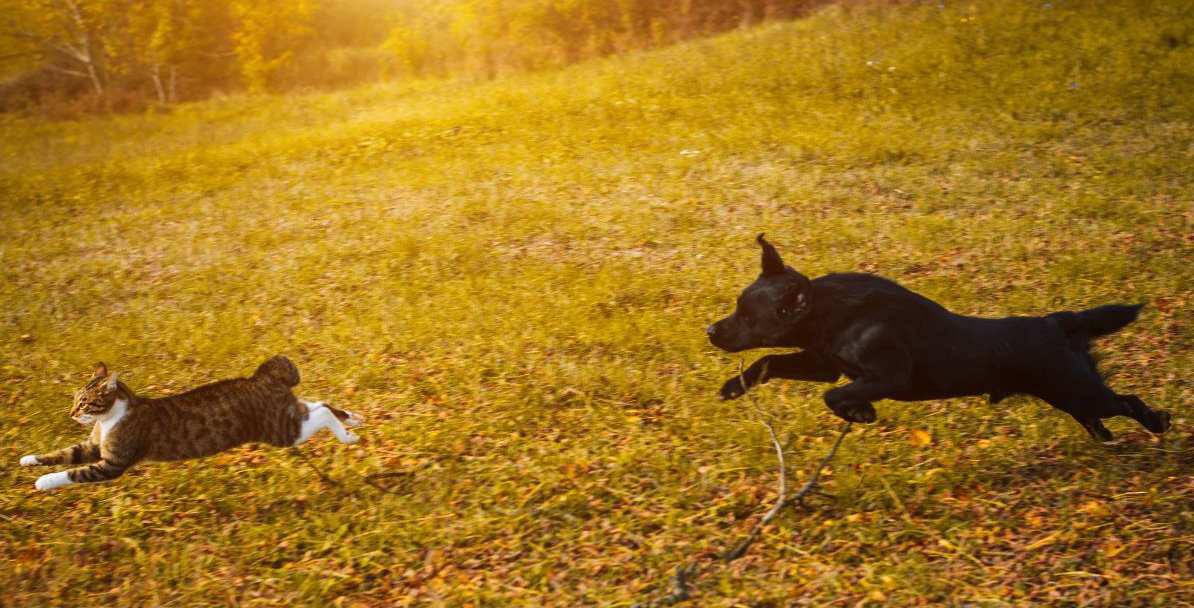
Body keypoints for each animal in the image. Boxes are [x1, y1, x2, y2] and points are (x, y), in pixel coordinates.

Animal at [18, 355, 360, 487]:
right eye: (75, 399)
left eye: (85, 402)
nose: (72, 413)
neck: (107, 421)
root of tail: (261, 377)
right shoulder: (93, 446)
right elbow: (64, 453)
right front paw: (28, 459)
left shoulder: (112, 462)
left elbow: (73, 472)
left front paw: (43, 482)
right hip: (288, 416)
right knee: (318, 404)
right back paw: (353, 419)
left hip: (282, 430)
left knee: (321, 412)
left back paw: (347, 434)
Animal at [706, 232, 1174, 441]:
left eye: (746, 316)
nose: (710, 330)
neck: (833, 313)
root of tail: (1058, 322)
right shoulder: (823, 365)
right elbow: (769, 362)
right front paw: (733, 386)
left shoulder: (885, 376)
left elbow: (833, 396)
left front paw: (860, 412)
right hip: (1069, 395)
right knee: (1099, 415)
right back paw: (1105, 438)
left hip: (1079, 390)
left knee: (1127, 402)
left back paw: (1157, 422)